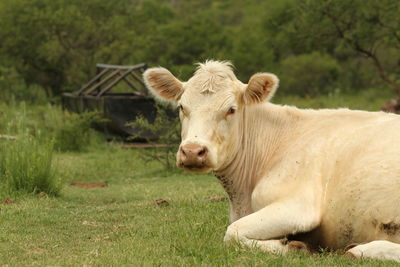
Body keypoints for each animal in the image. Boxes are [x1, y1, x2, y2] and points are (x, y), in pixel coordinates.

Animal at [144, 60, 400, 262]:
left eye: (231, 109)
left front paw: (294, 247)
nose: (192, 151)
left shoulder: (299, 206)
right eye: (182, 107)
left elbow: (232, 233)